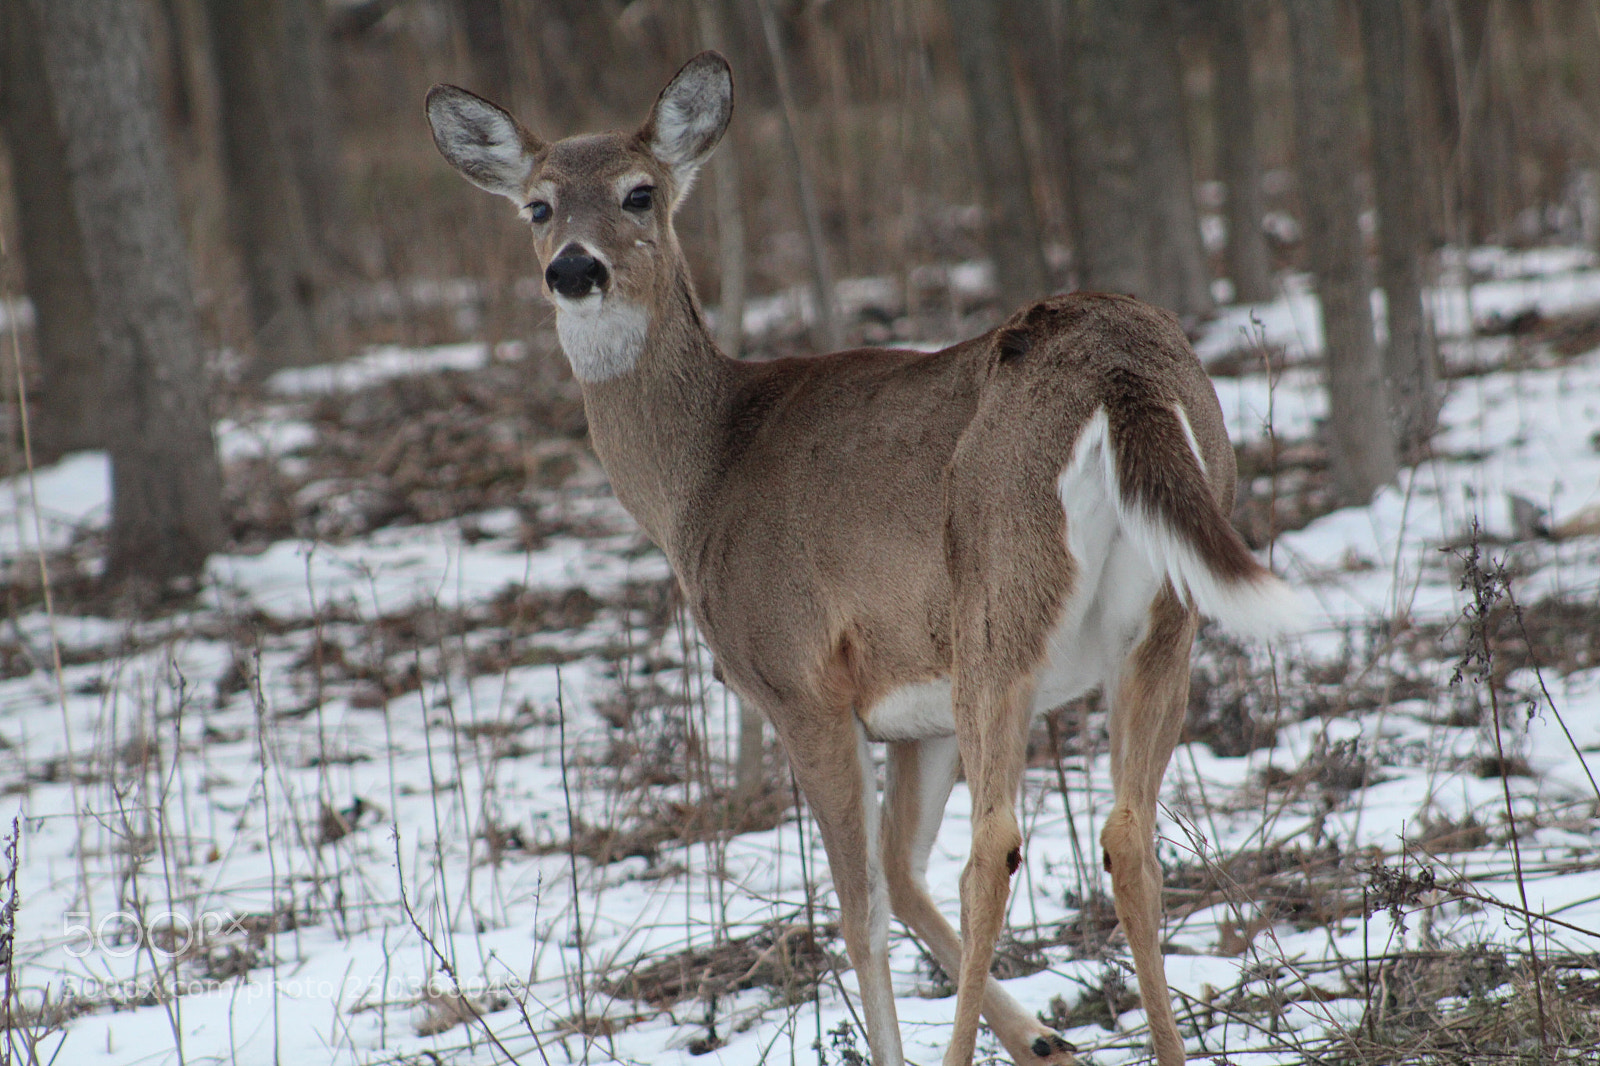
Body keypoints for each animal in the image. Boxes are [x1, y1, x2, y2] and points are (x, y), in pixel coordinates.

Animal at [426, 52, 1300, 1066]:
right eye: (537, 206)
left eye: (639, 192)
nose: (575, 268)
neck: (700, 475)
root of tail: (1123, 375)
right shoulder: (913, 707)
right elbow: (900, 873)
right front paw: (1046, 1039)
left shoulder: (800, 678)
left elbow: (860, 909)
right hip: (1168, 614)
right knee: (1127, 834)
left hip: (999, 595)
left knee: (993, 847)